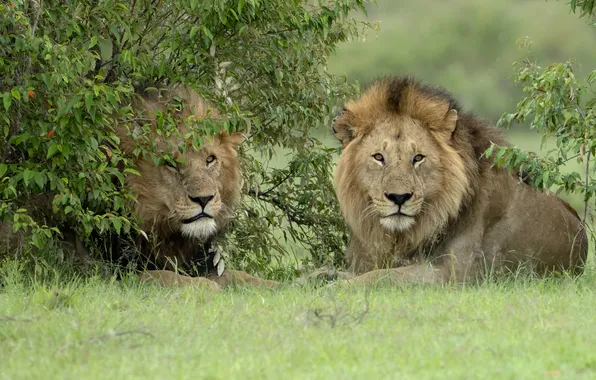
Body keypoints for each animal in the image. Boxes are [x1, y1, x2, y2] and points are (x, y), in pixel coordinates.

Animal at [328, 75, 588, 284]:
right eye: (379, 157)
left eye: (418, 158)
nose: (399, 197)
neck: (408, 235)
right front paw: (323, 276)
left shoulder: (453, 274)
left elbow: (381, 277)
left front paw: (339, 287)